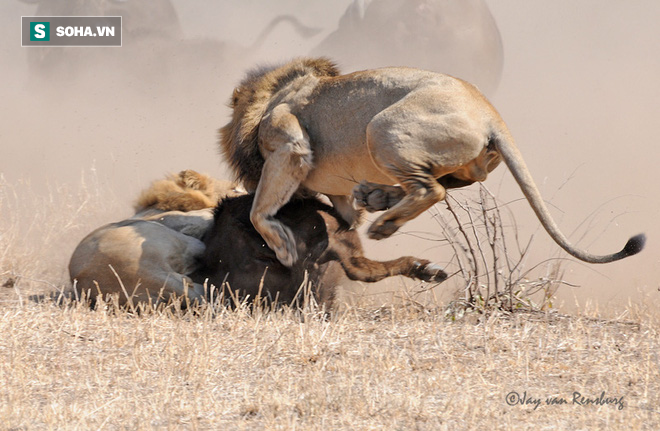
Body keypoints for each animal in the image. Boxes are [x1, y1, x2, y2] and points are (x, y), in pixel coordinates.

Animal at [222, 56, 644, 266]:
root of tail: (489, 112)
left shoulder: (290, 146)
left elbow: (259, 211)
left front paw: (284, 248)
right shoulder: (331, 191)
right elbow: (345, 215)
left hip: (382, 127)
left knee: (433, 190)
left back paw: (385, 221)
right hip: (457, 158)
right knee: (452, 181)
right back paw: (379, 198)